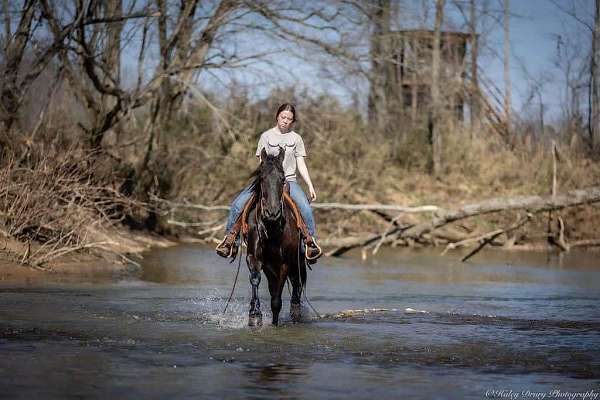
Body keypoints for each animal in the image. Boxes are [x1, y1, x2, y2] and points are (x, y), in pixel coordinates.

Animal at [245, 148, 308, 326]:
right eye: (262, 178)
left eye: (282, 179)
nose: (272, 213)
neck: (271, 227)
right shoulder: (254, 258)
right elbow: (255, 279)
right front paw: (254, 314)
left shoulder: (285, 263)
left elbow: (276, 299)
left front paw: (274, 322)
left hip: (297, 260)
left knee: (296, 281)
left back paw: (295, 310)